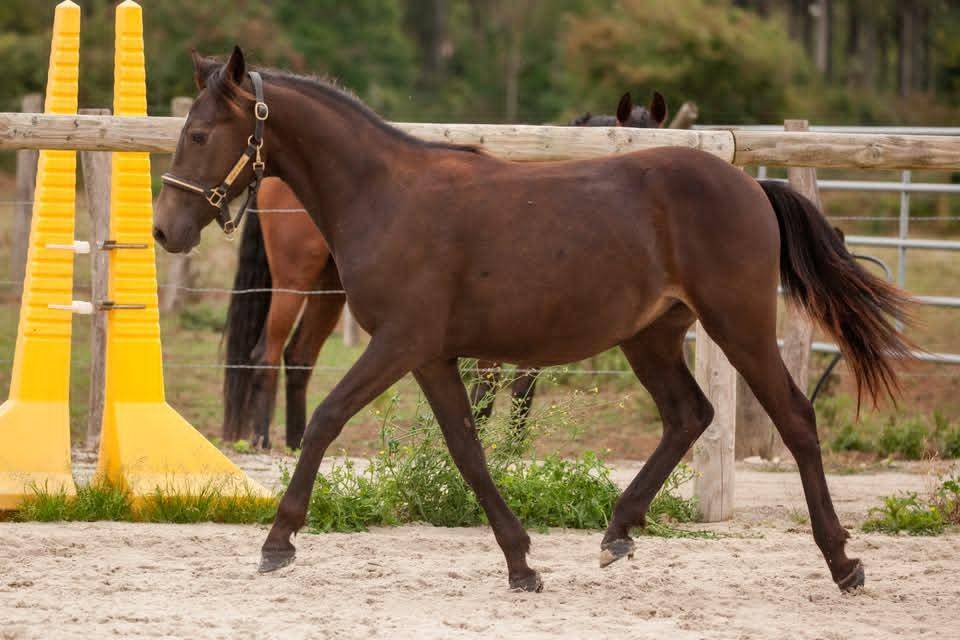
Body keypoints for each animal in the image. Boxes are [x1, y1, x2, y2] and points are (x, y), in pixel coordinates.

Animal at [223, 91, 670, 450]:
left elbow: (521, 392)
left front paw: (512, 450)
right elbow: (485, 394)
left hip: (329, 289)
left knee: (299, 356)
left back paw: (297, 442)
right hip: (294, 281)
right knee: (267, 352)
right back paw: (262, 438)